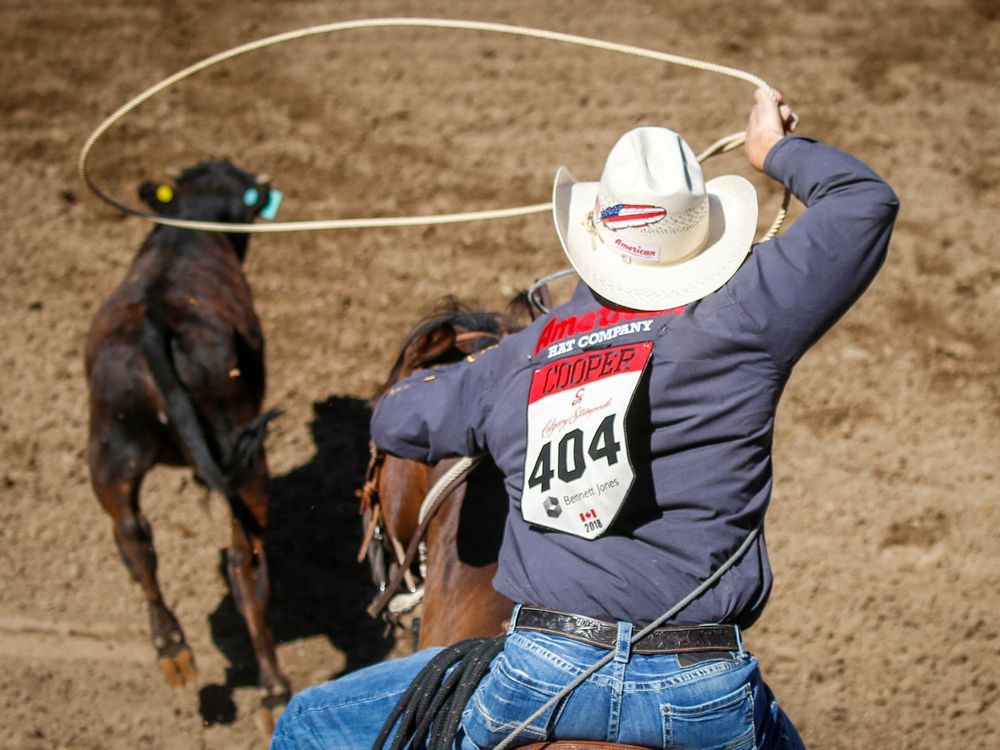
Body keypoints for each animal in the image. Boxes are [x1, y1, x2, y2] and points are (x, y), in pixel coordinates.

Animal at [83, 160, 288, 728]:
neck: (187, 227)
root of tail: (155, 322)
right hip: (245, 461)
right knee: (245, 563)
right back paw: (274, 691)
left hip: (109, 451)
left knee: (133, 536)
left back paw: (173, 649)